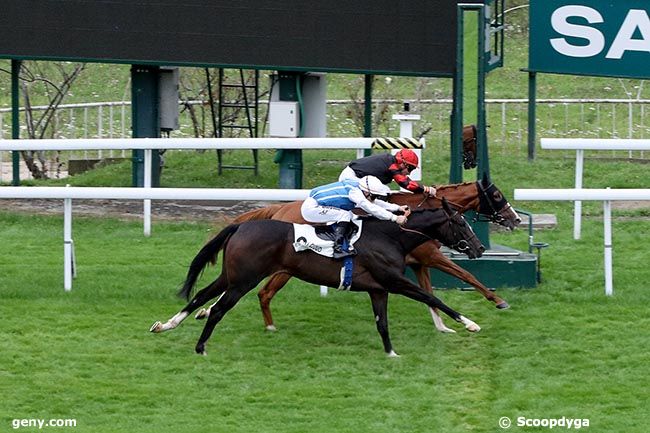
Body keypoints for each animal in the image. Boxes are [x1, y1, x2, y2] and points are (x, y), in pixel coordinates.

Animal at [152, 202, 484, 354]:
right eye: (461, 223)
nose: (479, 248)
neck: (391, 236)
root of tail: (241, 226)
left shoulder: (378, 289)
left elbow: (383, 322)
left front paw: (391, 353)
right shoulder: (394, 282)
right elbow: (432, 297)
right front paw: (470, 323)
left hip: (231, 276)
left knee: (201, 296)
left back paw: (166, 325)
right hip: (244, 280)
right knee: (218, 308)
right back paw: (201, 347)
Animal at [195, 174, 520, 332]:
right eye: (497, 195)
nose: (515, 218)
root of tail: (278, 209)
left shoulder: (418, 263)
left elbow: (429, 294)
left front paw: (443, 327)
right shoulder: (430, 257)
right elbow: (466, 275)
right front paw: (498, 301)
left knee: (252, 289)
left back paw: (209, 311)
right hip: (283, 269)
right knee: (261, 292)